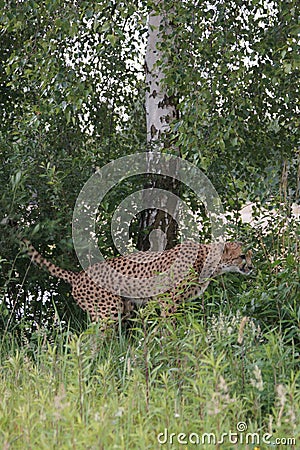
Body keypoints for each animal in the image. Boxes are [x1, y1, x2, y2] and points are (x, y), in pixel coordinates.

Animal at [23, 241, 253, 322]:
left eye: (250, 256)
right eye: (243, 256)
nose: (251, 267)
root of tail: (79, 274)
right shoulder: (168, 303)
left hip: (123, 308)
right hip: (108, 311)